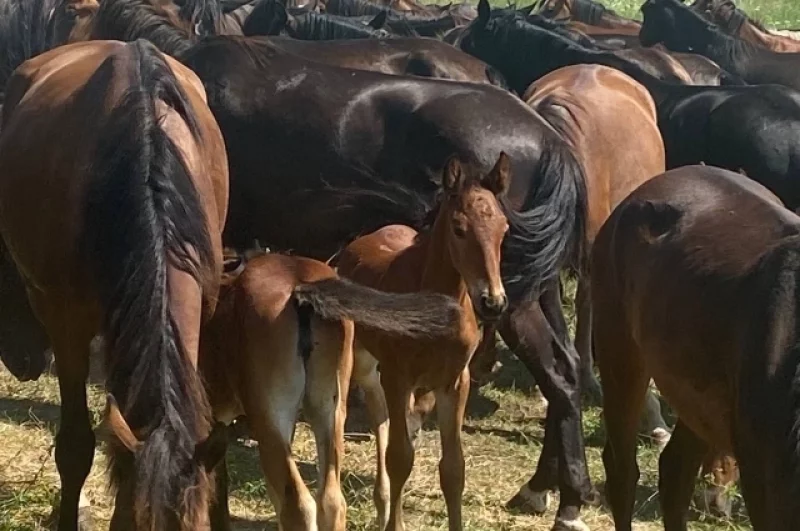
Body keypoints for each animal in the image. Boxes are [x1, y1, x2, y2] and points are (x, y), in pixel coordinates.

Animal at [334, 154, 510, 531]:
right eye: (459, 229)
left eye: (504, 228)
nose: (493, 302)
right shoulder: (399, 376)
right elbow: (400, 457)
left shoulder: (455, 381)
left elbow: (454, 469)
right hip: (360, 358)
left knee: (382, 412)